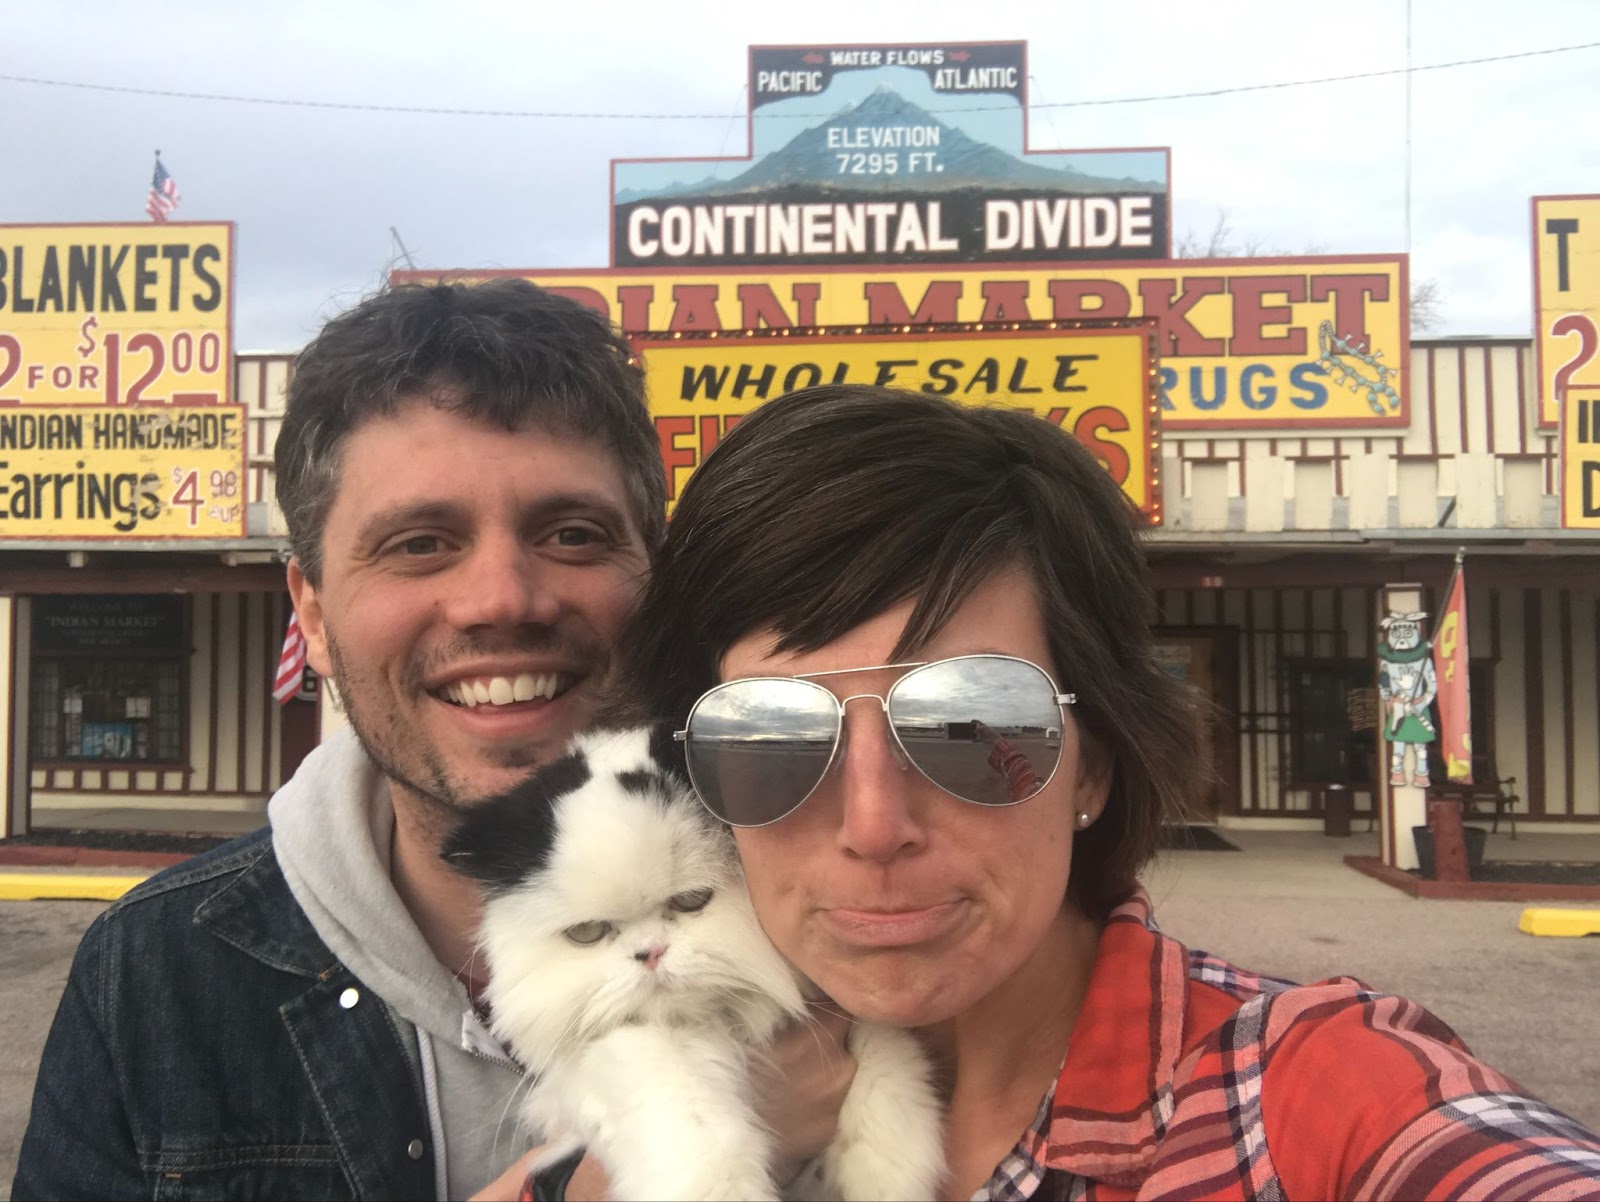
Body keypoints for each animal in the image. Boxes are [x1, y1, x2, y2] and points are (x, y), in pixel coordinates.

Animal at [438, 723, 940, 1202]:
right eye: (588, 933)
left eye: (691, 901)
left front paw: (890, 1172)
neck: (721, 1027)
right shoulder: (618, 1056)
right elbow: (693, 1128)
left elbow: (888, 1068)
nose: (649, 954)